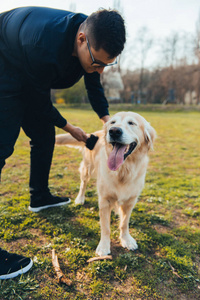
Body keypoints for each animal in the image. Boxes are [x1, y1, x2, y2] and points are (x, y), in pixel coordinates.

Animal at [55, 111, 155, 256]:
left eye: (131, 123)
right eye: (112, 122)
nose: (114, 131)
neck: (123, 170)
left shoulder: (131, 200)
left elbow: (124, 223)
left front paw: (126, 239)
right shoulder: (104, 200)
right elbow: (105, 227)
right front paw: (103, 246)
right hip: (87, 168)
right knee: (83, 184)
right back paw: (80, 199)